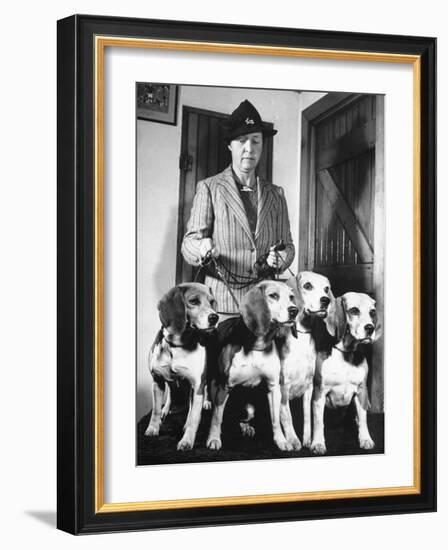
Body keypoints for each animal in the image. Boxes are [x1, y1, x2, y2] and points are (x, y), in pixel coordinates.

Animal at [145, 284, 219, 452]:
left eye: (211, 302)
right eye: (193, 301)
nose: (215, 317)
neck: (177, 345)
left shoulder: (197, 386)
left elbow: (194, 418)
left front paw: (187, 441)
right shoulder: (157, 380)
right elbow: (155, 410)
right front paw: (153, 428)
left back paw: (206, 403)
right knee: (172, 394)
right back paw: (167, 408)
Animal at [207, 282, 300, 454]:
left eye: (291, 297)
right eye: (273, 295)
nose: (294, 310)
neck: (257, 346)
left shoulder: (273, 388)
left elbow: (275, 420)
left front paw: (281, 441)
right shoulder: (224, 386)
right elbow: (217, 417)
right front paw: (214, 438)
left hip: (249, 409)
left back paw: (246, 427)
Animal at [274, 272, 334, 452]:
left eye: (326, 288)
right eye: (307, 286)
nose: (326, 300)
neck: (301, 336)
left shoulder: (309, 387)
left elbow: (308, 417)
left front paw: (308, 439)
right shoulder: (283, 387)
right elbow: (287, 416)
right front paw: (293, 440)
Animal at [310, 294, 380, 458]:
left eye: (372, 312)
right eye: (354, 310)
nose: (370, 328)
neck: (346, 353)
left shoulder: (361, 391)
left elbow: (363, 418)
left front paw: (365, 439)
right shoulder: (319, 392)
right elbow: (318, 421)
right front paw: (318, 443)